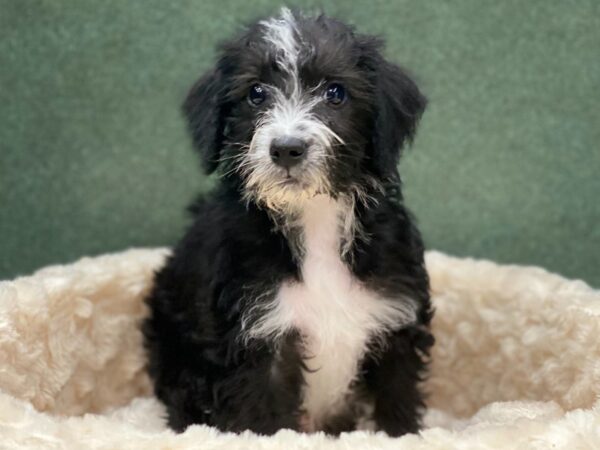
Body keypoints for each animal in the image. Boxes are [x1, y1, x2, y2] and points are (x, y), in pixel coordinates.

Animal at [143, 7, 434, 436]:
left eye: (335, 93)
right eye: (256, 93)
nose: (286, 148)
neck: (313, 218)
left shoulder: (395, 322)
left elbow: (396, 405)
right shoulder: (259, 341)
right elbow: (265, 422)